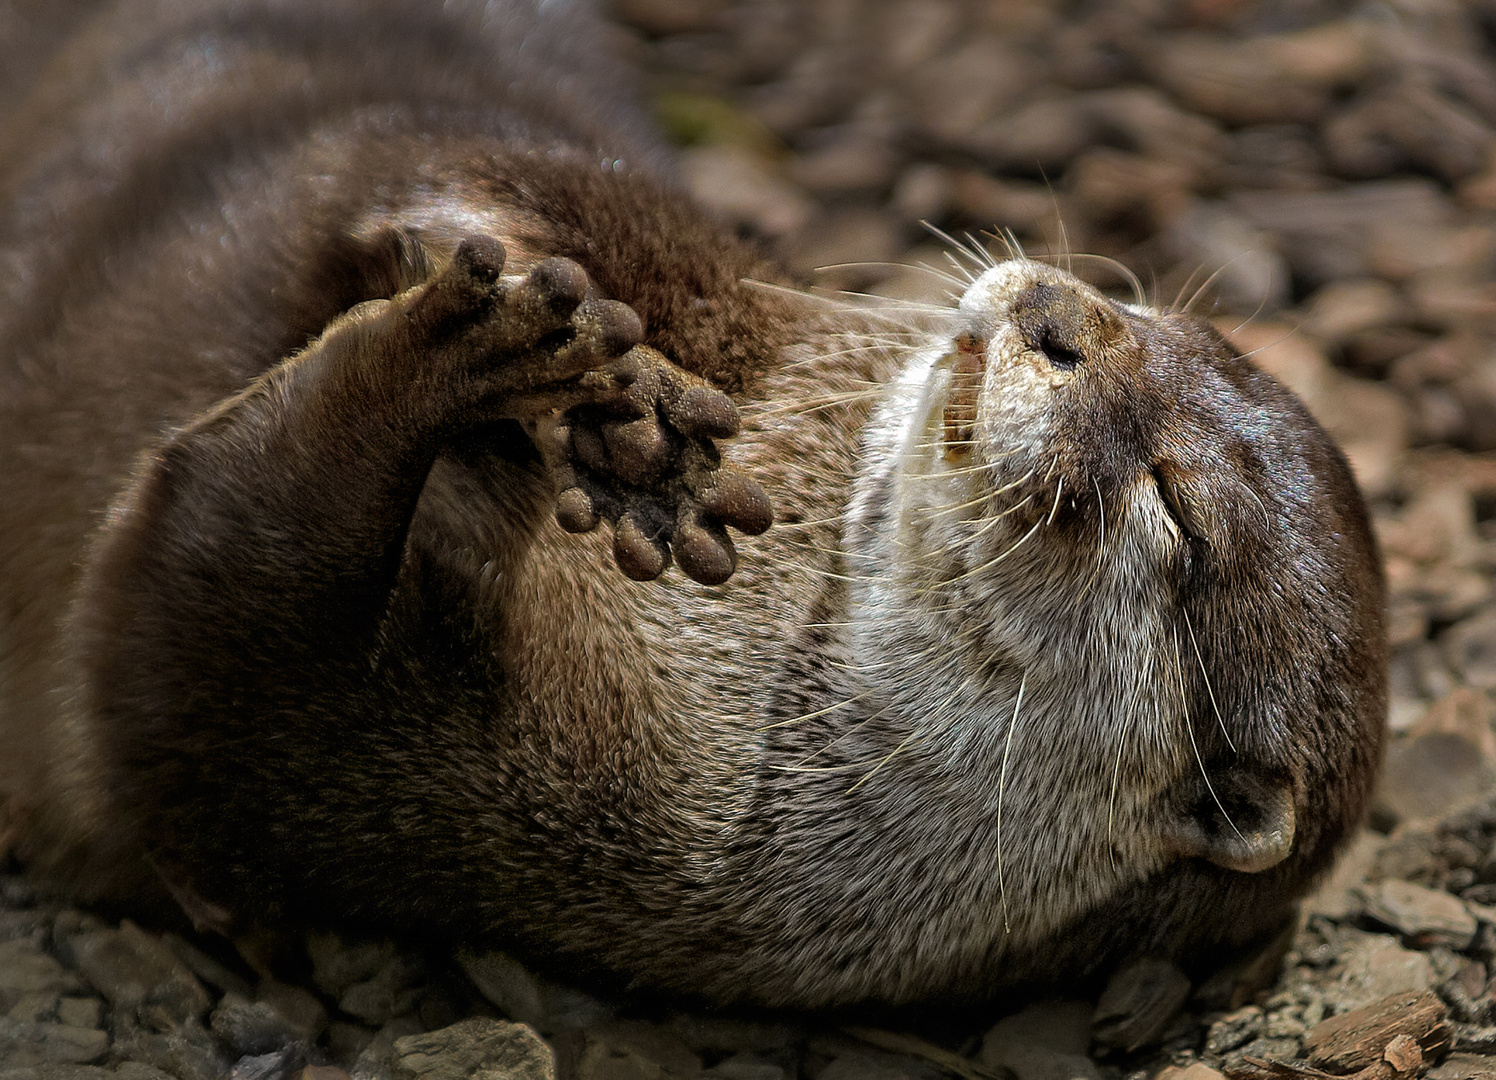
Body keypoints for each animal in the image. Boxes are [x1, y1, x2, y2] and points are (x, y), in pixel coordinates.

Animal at [0, 0, 1382, 1011]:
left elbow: (192, 622)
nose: (1054, 307)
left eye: (1174, 509)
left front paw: (442, 361)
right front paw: (602, 394)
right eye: (1138, 311)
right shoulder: (681, 262)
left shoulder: (375, 789)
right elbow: (472, 156)